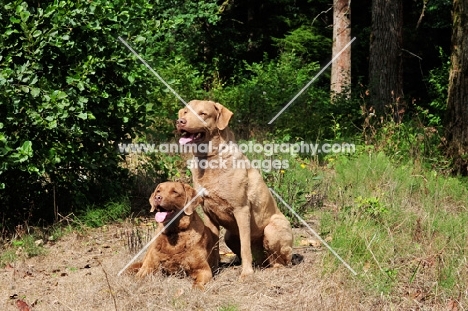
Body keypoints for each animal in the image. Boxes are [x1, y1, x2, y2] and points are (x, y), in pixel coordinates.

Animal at [176, 99, 292, 278]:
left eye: (203, 113)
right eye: (186, 112)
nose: (180, 121)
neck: (210, 158)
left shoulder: (241, 209)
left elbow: (245, 247)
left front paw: (246, 273)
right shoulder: (208, 214)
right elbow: (213, 246)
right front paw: (214, 268)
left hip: (272, 229)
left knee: (280, 260)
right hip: (229, 236)